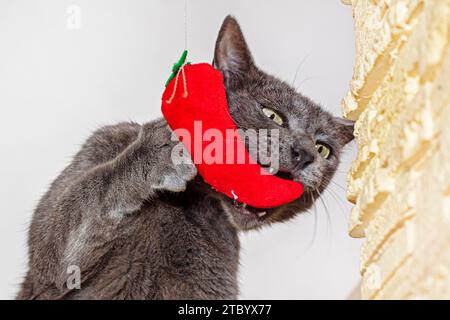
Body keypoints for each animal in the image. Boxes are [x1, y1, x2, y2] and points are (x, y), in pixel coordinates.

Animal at [16, 15, 356, 300]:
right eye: (272, 114)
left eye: (324, 148)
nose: (306, 153)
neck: (191, 202)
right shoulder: (55, 259)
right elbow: (82, 205)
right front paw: (164, 152)